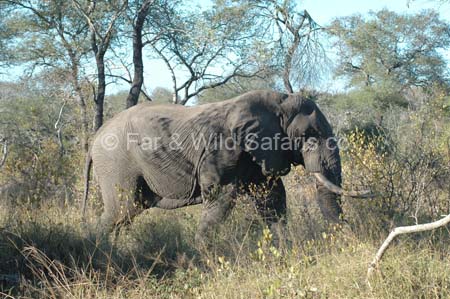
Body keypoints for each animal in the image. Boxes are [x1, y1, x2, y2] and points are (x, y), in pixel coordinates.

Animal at [82, 90, 370, 243]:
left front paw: (285, 249)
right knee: (121, 210)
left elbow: (272, 199)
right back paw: (101, 249)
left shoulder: (258, 154)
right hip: (116, 163)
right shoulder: (222, 150)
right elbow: (221, 199)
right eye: (310, 135)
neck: (278, 100)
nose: (351, 239)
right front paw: (203, 256)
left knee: (126, 213)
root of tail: (95, 138)